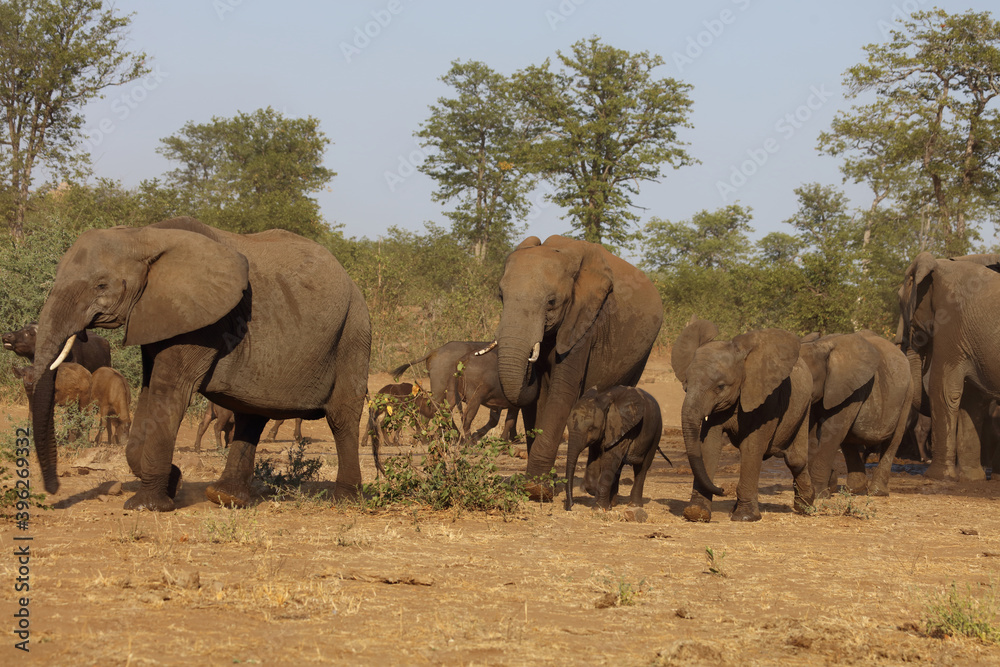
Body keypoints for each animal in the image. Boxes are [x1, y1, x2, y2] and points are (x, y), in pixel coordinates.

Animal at [28, 217, 372, 511]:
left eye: (101, 285)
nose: (53, 489)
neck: (145, 235)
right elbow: (150, 390)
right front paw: (173, 481)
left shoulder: (202, 322)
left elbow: (170, 392)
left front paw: (148, 504)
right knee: (252, 415)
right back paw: (225, 497)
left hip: (353, 333)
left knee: (341, 416)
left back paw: (344, 501)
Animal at [491, 235, 663, 498]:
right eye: (501, 296)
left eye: (551, 302)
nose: (530, 360)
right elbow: (535, 401)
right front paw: (540, 485)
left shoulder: (584, 323)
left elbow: (562, 393)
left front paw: (536, 489)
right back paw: (590, 488)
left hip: (643, 352)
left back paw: (599, 491)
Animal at [672, 319, 814, 522]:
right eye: (686, 385)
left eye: (720, 387)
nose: (722, 489)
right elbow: (709, 445)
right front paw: (696, 513)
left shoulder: (767, 398)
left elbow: (752, 447)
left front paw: (745, 517)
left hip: (805, 404)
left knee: (796, 459)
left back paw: (806, 506)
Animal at [798, 331, 912, 498]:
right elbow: (812, 433)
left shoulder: (852, 391)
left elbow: (831, 433)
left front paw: (820, 494)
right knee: (848, 440)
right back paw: (855, 491)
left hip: (908, 394)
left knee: (894, 440)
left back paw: (877, 492)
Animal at [897, 252, 1000, 481]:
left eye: (898, 300)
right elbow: (972, 399)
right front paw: (971, 478)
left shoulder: (951, 322)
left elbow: (943, 389)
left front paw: (937, 477)